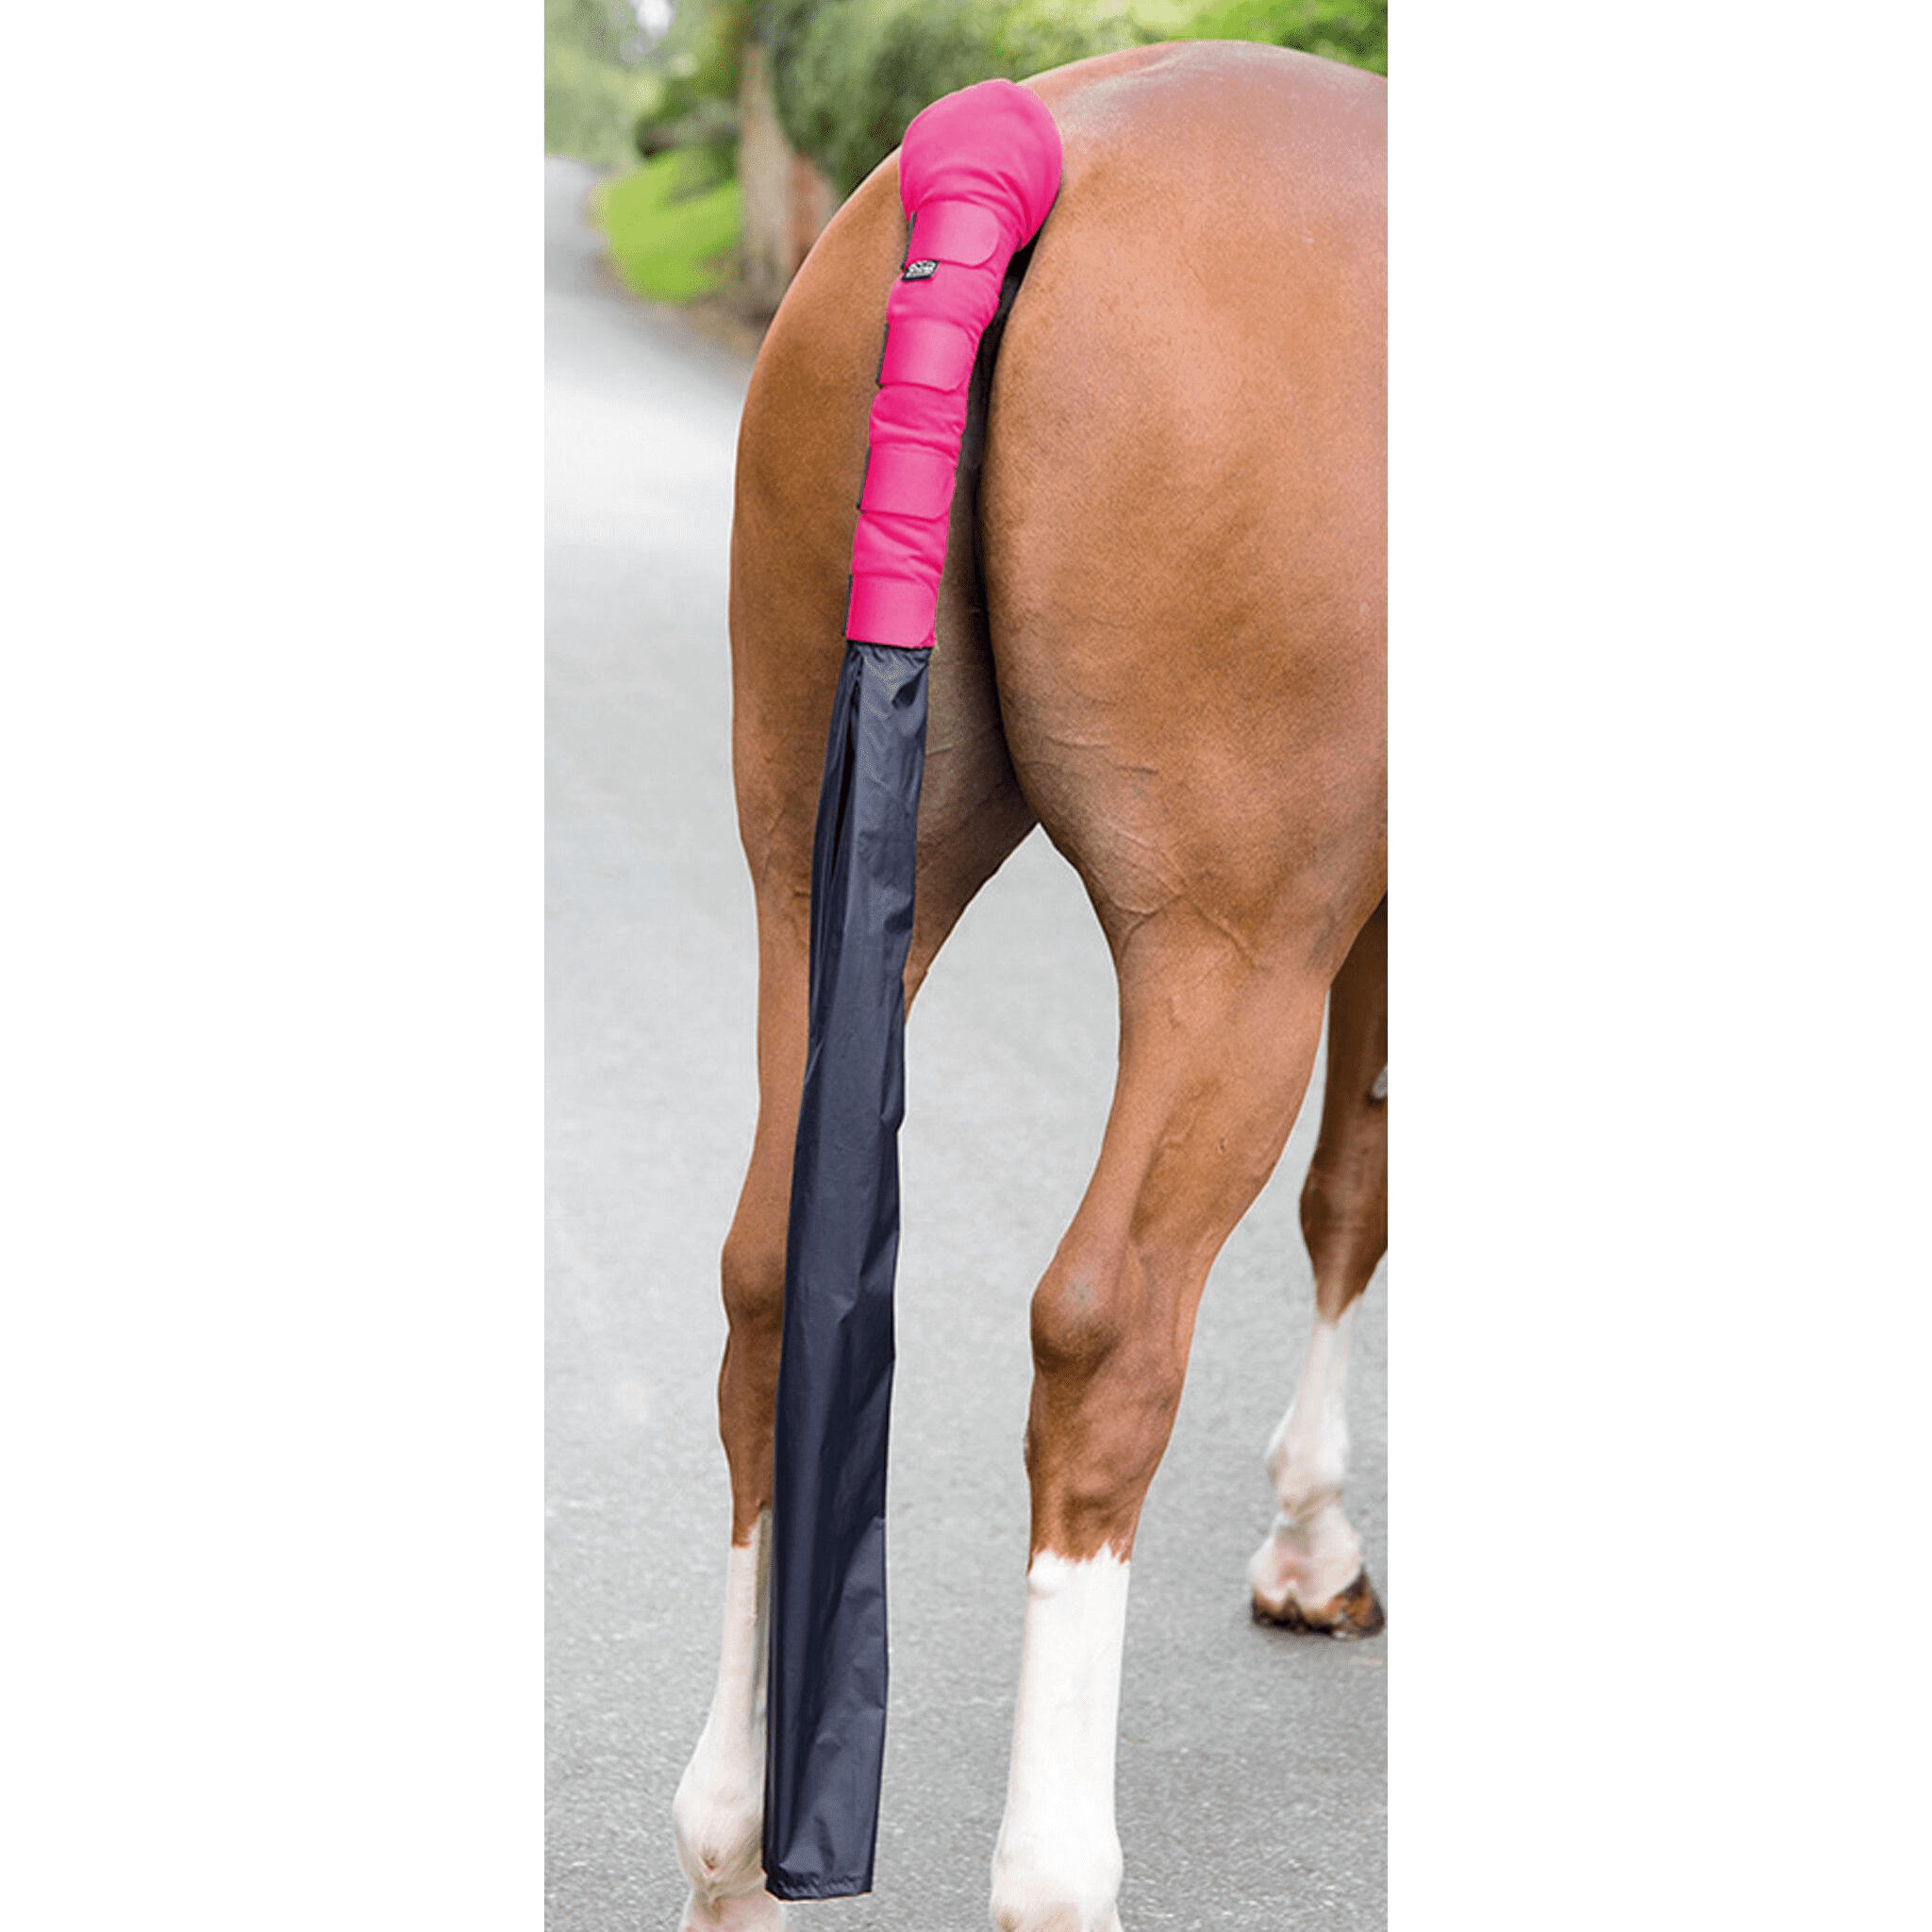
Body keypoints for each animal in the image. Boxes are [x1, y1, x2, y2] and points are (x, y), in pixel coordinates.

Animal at [672, 38, 1386, 1932]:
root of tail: (1027, 146)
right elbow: (1360, 1185)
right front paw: (1309, 1540)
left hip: (813, 878)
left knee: (768, 1282)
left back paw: (728, 1838)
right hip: (1228, 953)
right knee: (1109, 1328)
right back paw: (1055, 1870)